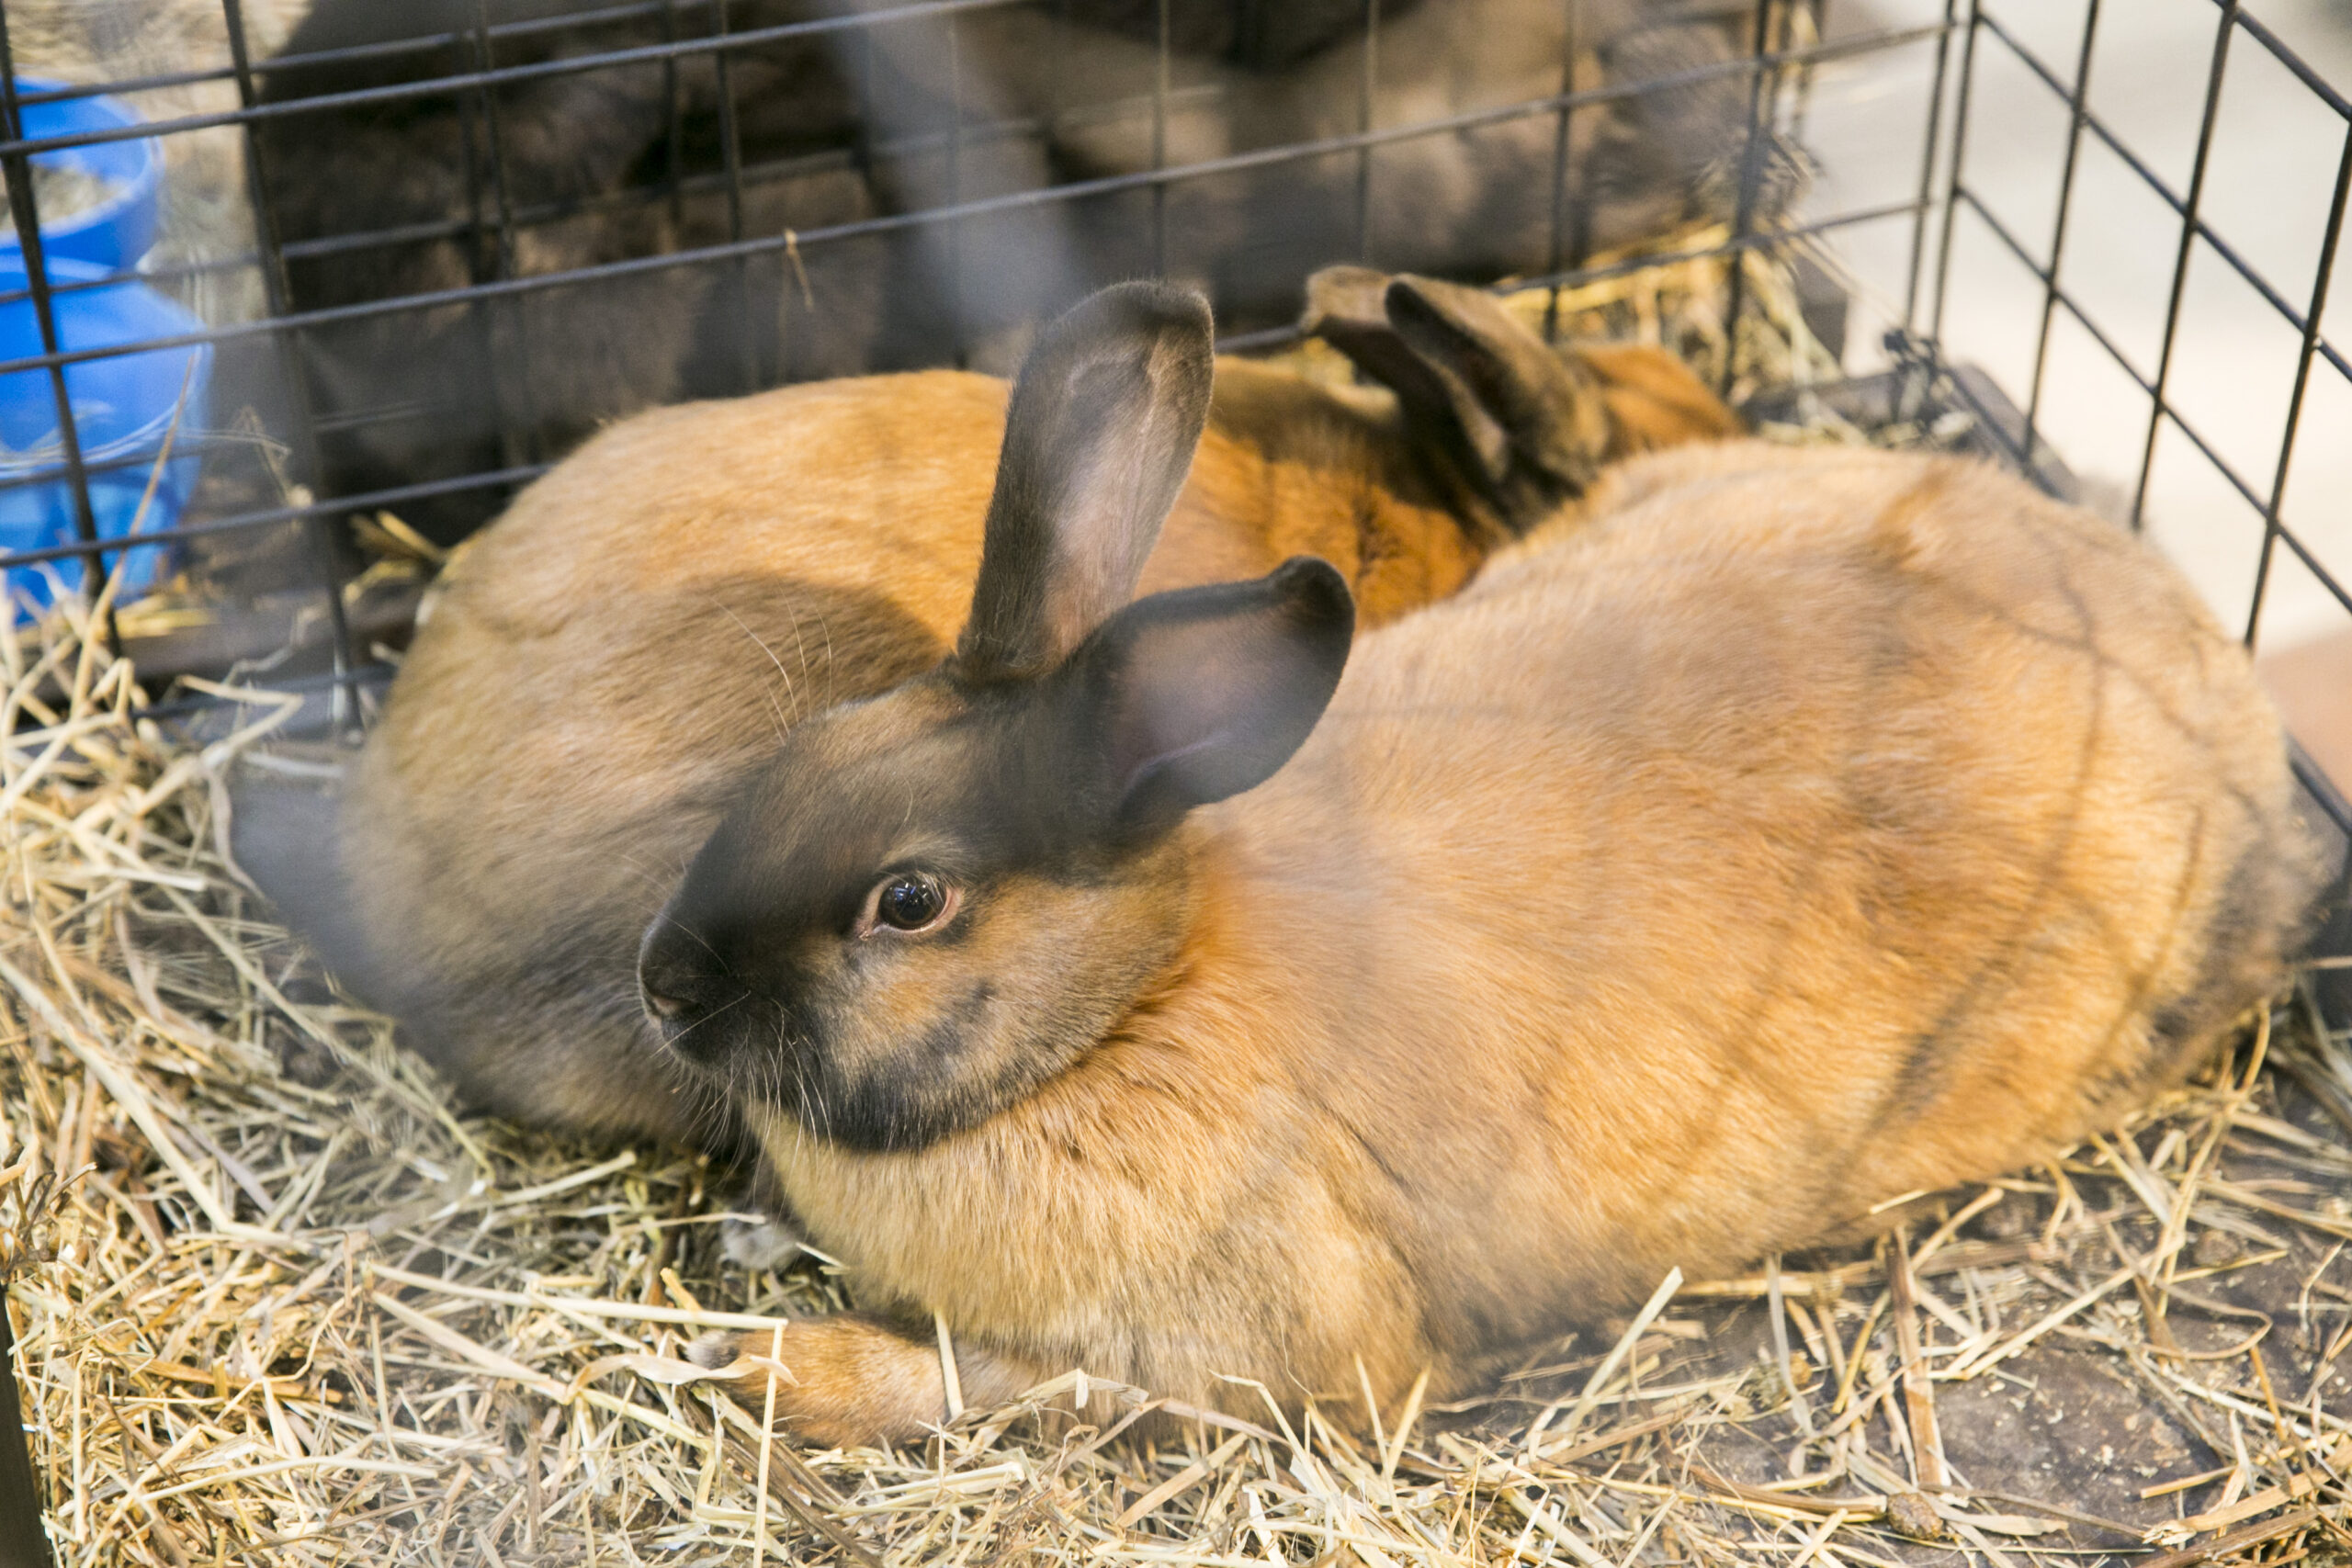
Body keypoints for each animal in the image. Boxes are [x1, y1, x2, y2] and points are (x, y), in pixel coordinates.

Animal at [652, 277, 2322, 1448]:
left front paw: (772, 1367)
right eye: (816, 739)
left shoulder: (1261, 1362)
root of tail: (2221, 691)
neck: (1131, 1007)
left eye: (909, 899)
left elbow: (993, 1378)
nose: (666, 985)